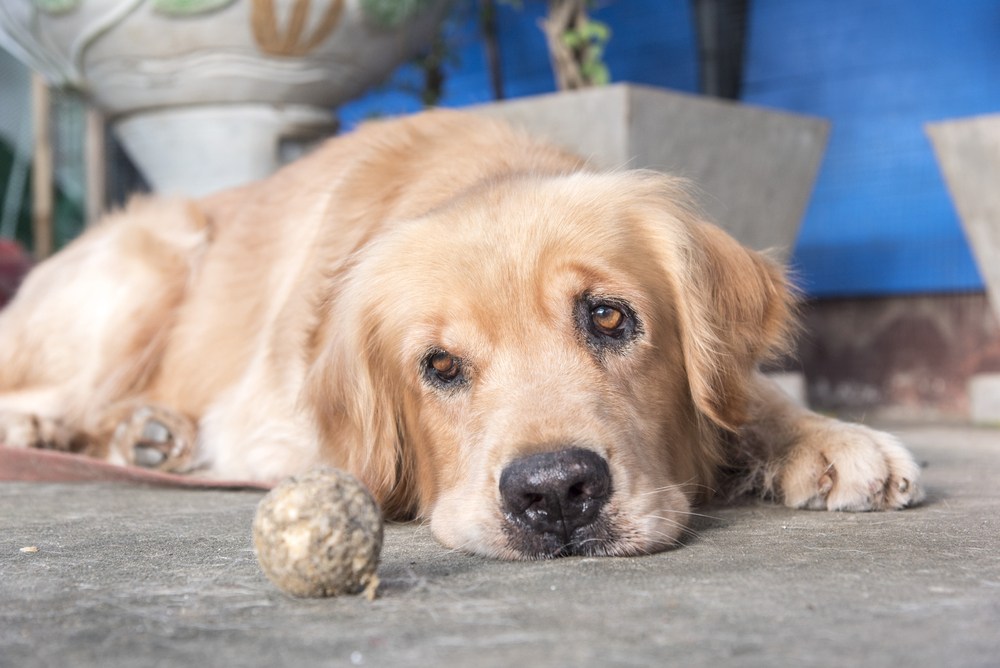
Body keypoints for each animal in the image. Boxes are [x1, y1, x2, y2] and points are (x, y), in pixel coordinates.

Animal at [0, 111, 920, 560]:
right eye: (439, 365)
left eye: (609, 316)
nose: (555, 494)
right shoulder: (265, 421)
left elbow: (748, 395)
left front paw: (831, 438)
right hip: (153, 253)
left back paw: (148, 433)